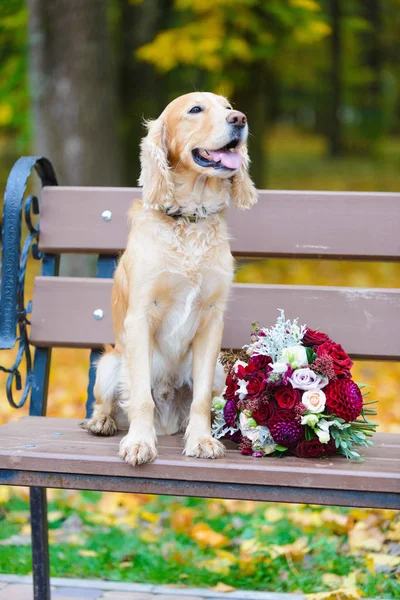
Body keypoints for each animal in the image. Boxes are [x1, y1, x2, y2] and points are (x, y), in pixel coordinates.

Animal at [82, 92, 256, 464]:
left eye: (228, 106)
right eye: (195, 109)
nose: (239, 119)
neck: (189, 219)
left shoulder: (211, 320)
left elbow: (201, 399)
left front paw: (202, 440)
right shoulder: (140, 316)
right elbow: (140, 397)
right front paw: (139, 442)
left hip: (219, 370)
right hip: (109, 363)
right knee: (108, 401)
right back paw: (102, 422)